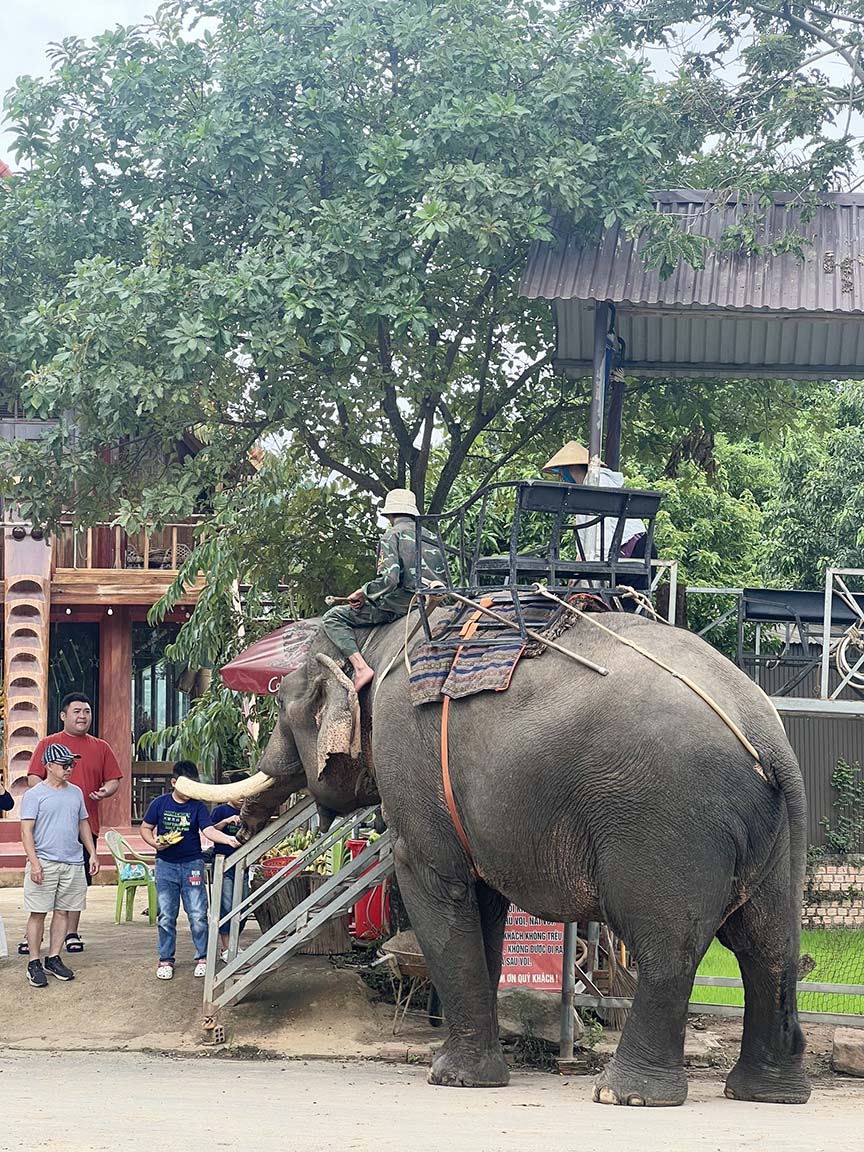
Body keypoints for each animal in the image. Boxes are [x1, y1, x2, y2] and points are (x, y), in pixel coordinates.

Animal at [180, 612, 811, 1105]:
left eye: (281, 703)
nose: (235, 833)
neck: (376, 643)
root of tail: (771, 737)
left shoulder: (414, 772)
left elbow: (436, 885)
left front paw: (453, 1079)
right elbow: (483, 906)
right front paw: (471, 1073)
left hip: (666, 823)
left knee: (669, 944)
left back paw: (625, 1094)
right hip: (773, 837)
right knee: (767, 943)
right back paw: (768, 1093)